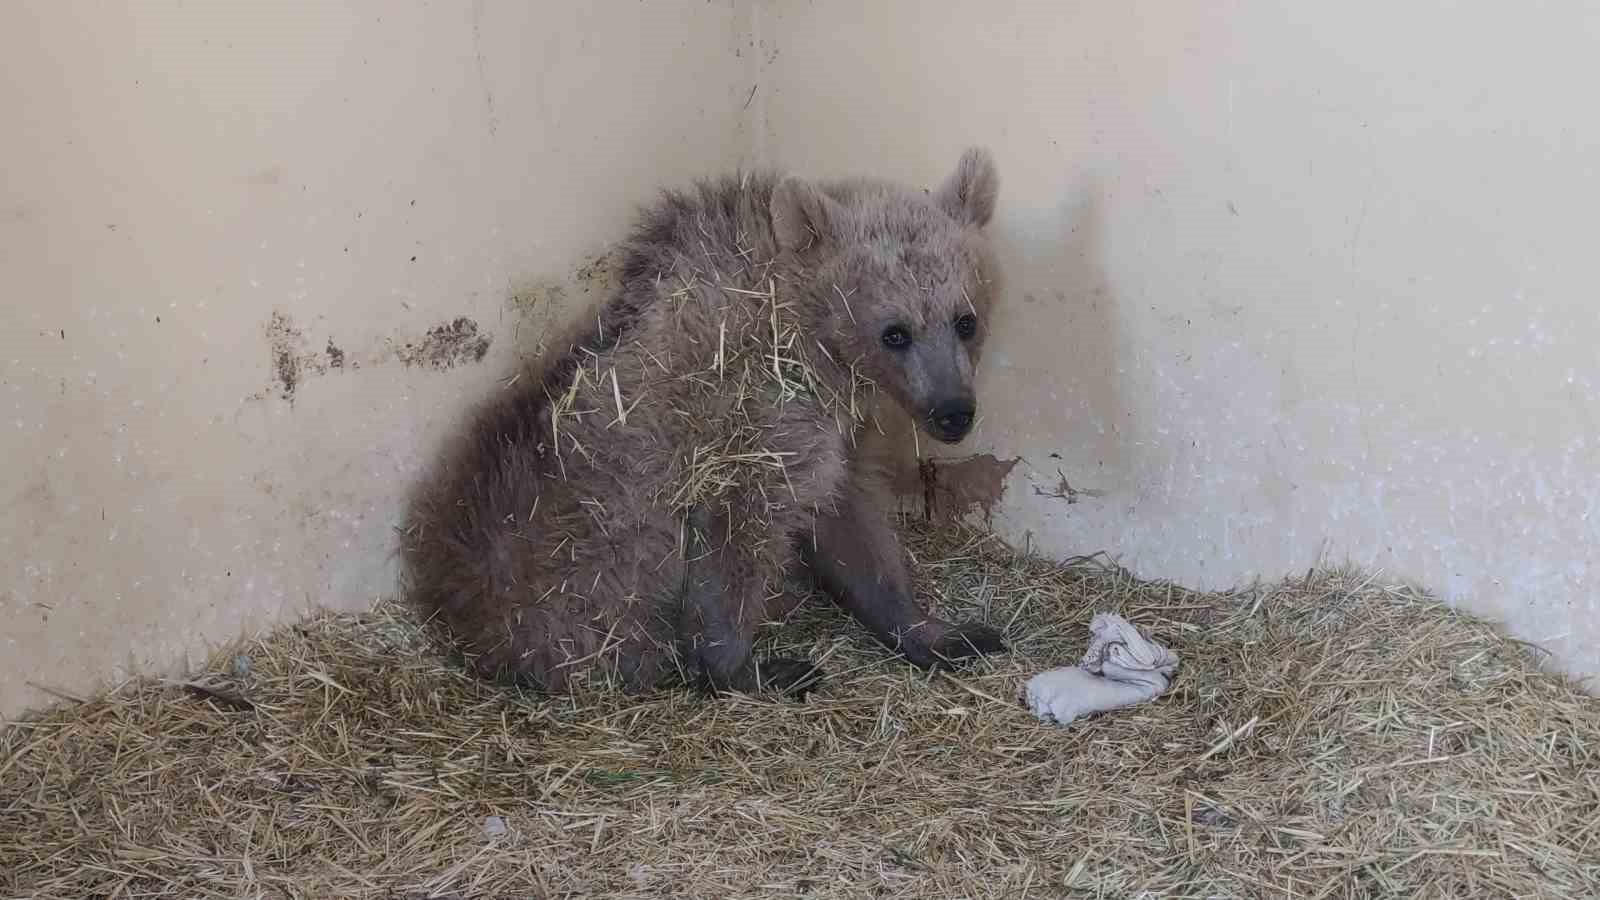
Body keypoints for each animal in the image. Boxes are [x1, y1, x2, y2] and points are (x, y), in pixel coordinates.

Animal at [406, 145, 1011, 695]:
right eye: (895, 332)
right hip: (574, 557)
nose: (953, 413)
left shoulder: (837, 436)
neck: (811, 344)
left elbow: (851, 523)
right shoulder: (750, 427)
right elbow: (738, 541)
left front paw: (936, 631)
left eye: (964, 320)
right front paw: (746, 666)